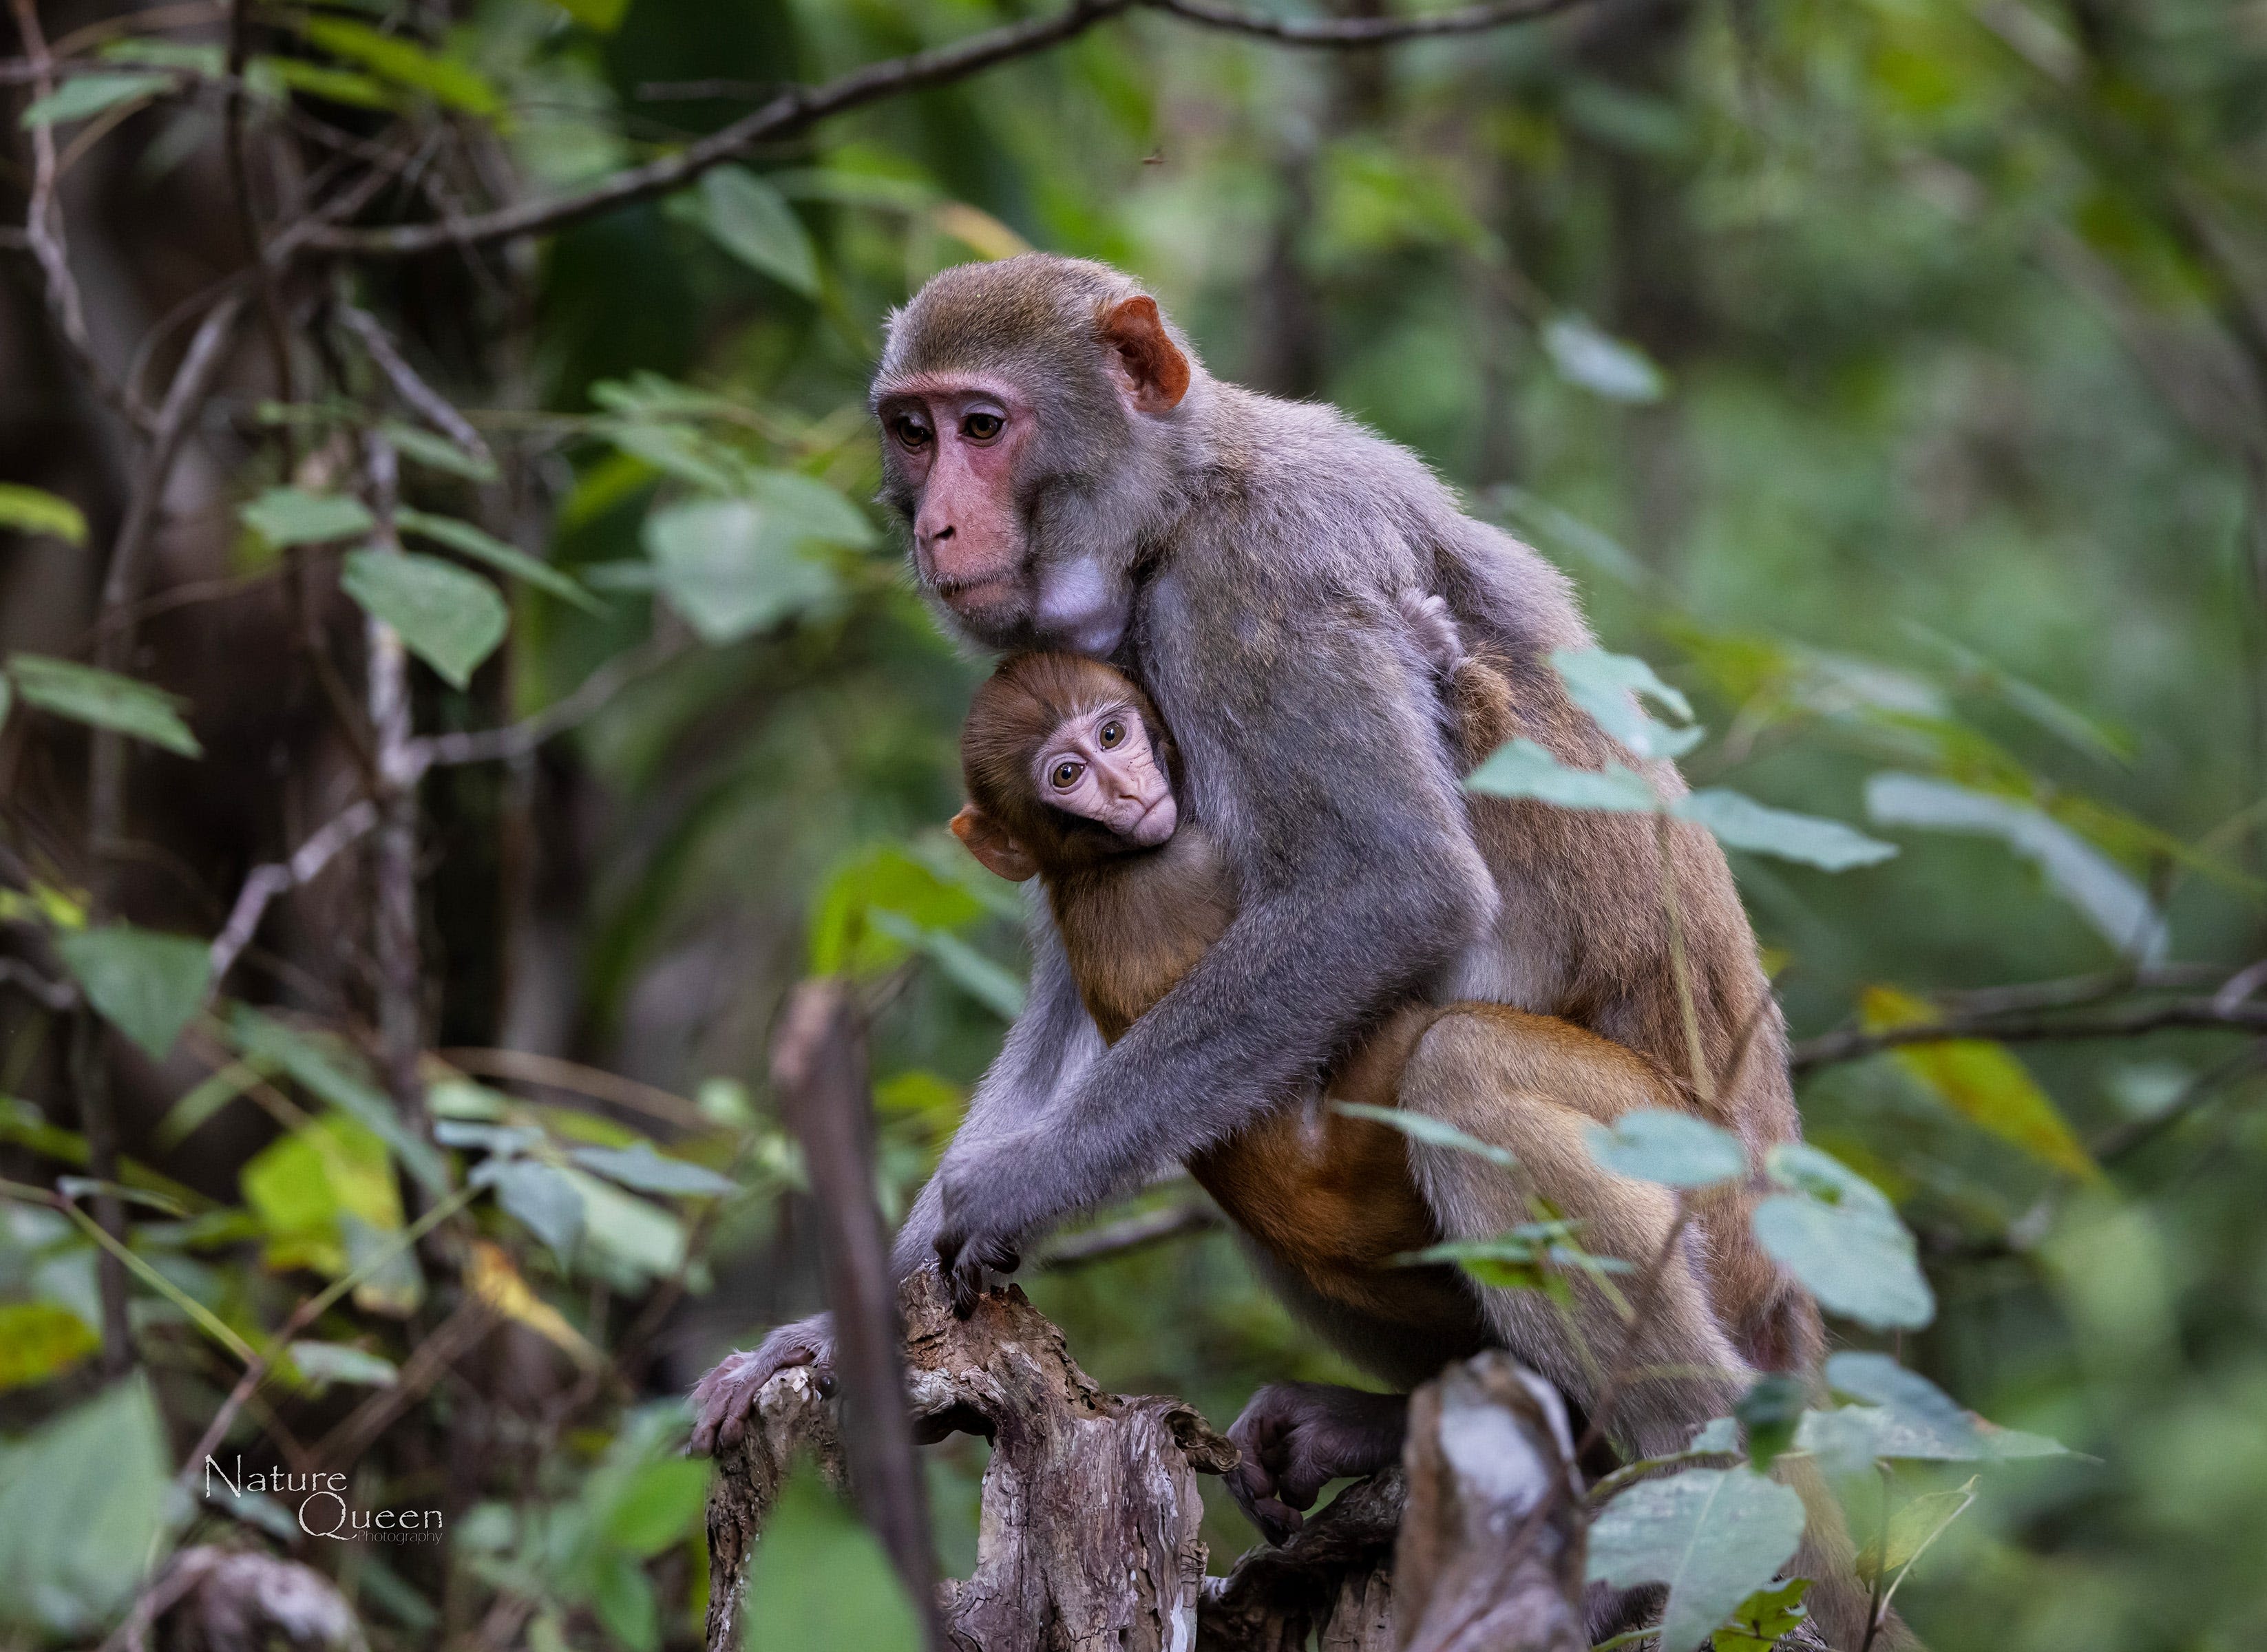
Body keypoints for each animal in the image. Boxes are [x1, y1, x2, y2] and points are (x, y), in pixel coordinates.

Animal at [689, 251, 1822, 1613]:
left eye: (983, 426)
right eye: (913, 431)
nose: (935, 523)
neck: (1173, 509)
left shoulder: (1256, 587)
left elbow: (1392, 887)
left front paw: (1016, 1186)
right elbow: (1070, 998)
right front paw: (830, 1331)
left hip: (1718, 1213)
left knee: (1462, 1066)